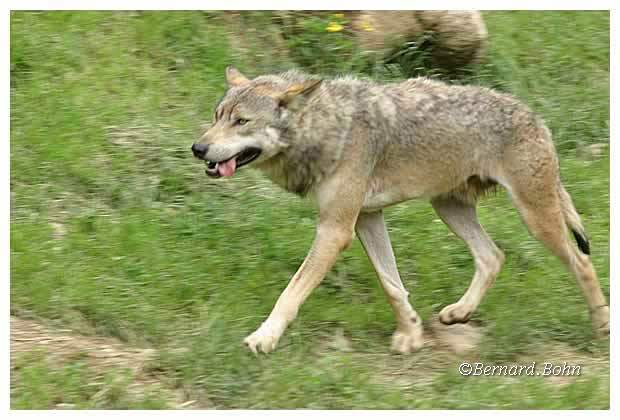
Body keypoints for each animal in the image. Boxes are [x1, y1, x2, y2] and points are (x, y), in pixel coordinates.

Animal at [191, 68, 608, 354]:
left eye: (241, 121)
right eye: (216, 115)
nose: (198, 148)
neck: (330, 129)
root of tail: (535, 116)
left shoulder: (335, 230)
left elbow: (290, 293)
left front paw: (265, 337)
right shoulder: (366, 219)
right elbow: (392, 285)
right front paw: (410, 333)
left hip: (535, 218)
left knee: (582, 262)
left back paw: (602, 324)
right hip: (448, 208)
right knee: (494, 256)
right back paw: (460, 312)